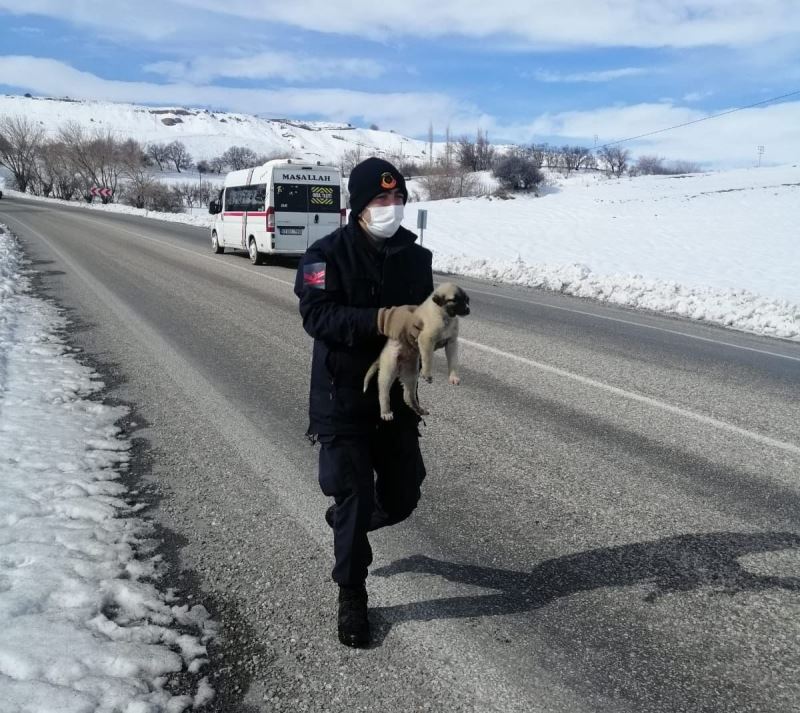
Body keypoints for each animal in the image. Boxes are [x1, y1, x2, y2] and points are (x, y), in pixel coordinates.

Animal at [362, 282, 468, 420]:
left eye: (466, 299)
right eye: (454, 300)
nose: (468, 310)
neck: (444, 315)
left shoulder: (452, 343)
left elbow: (453, 361)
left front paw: (454, 377)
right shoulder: (425, 339)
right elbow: (428, 358)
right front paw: (427, 373)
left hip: (411, 373)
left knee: (408, 395)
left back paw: (418, 408)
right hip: (389, 370)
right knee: (383, 393)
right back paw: (386, 412)